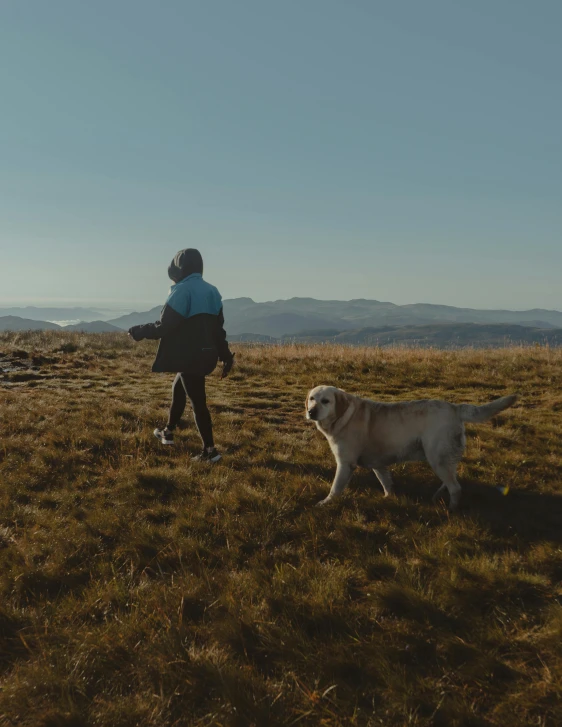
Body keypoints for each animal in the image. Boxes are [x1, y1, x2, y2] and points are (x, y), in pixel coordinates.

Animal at [304, 386, 516, 512]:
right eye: (312, 398)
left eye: (326, 401)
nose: (311, 411)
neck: (342, 418)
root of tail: (455, 407)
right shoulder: (378, 464)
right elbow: (386, 482)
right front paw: (388, 497)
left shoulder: (346, 464)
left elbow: (335, 487)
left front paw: (325, 503)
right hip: (444, 457)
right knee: (451, 480)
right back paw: (438, 496)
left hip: (437, 457)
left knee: (456, 487)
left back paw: (451, 510)